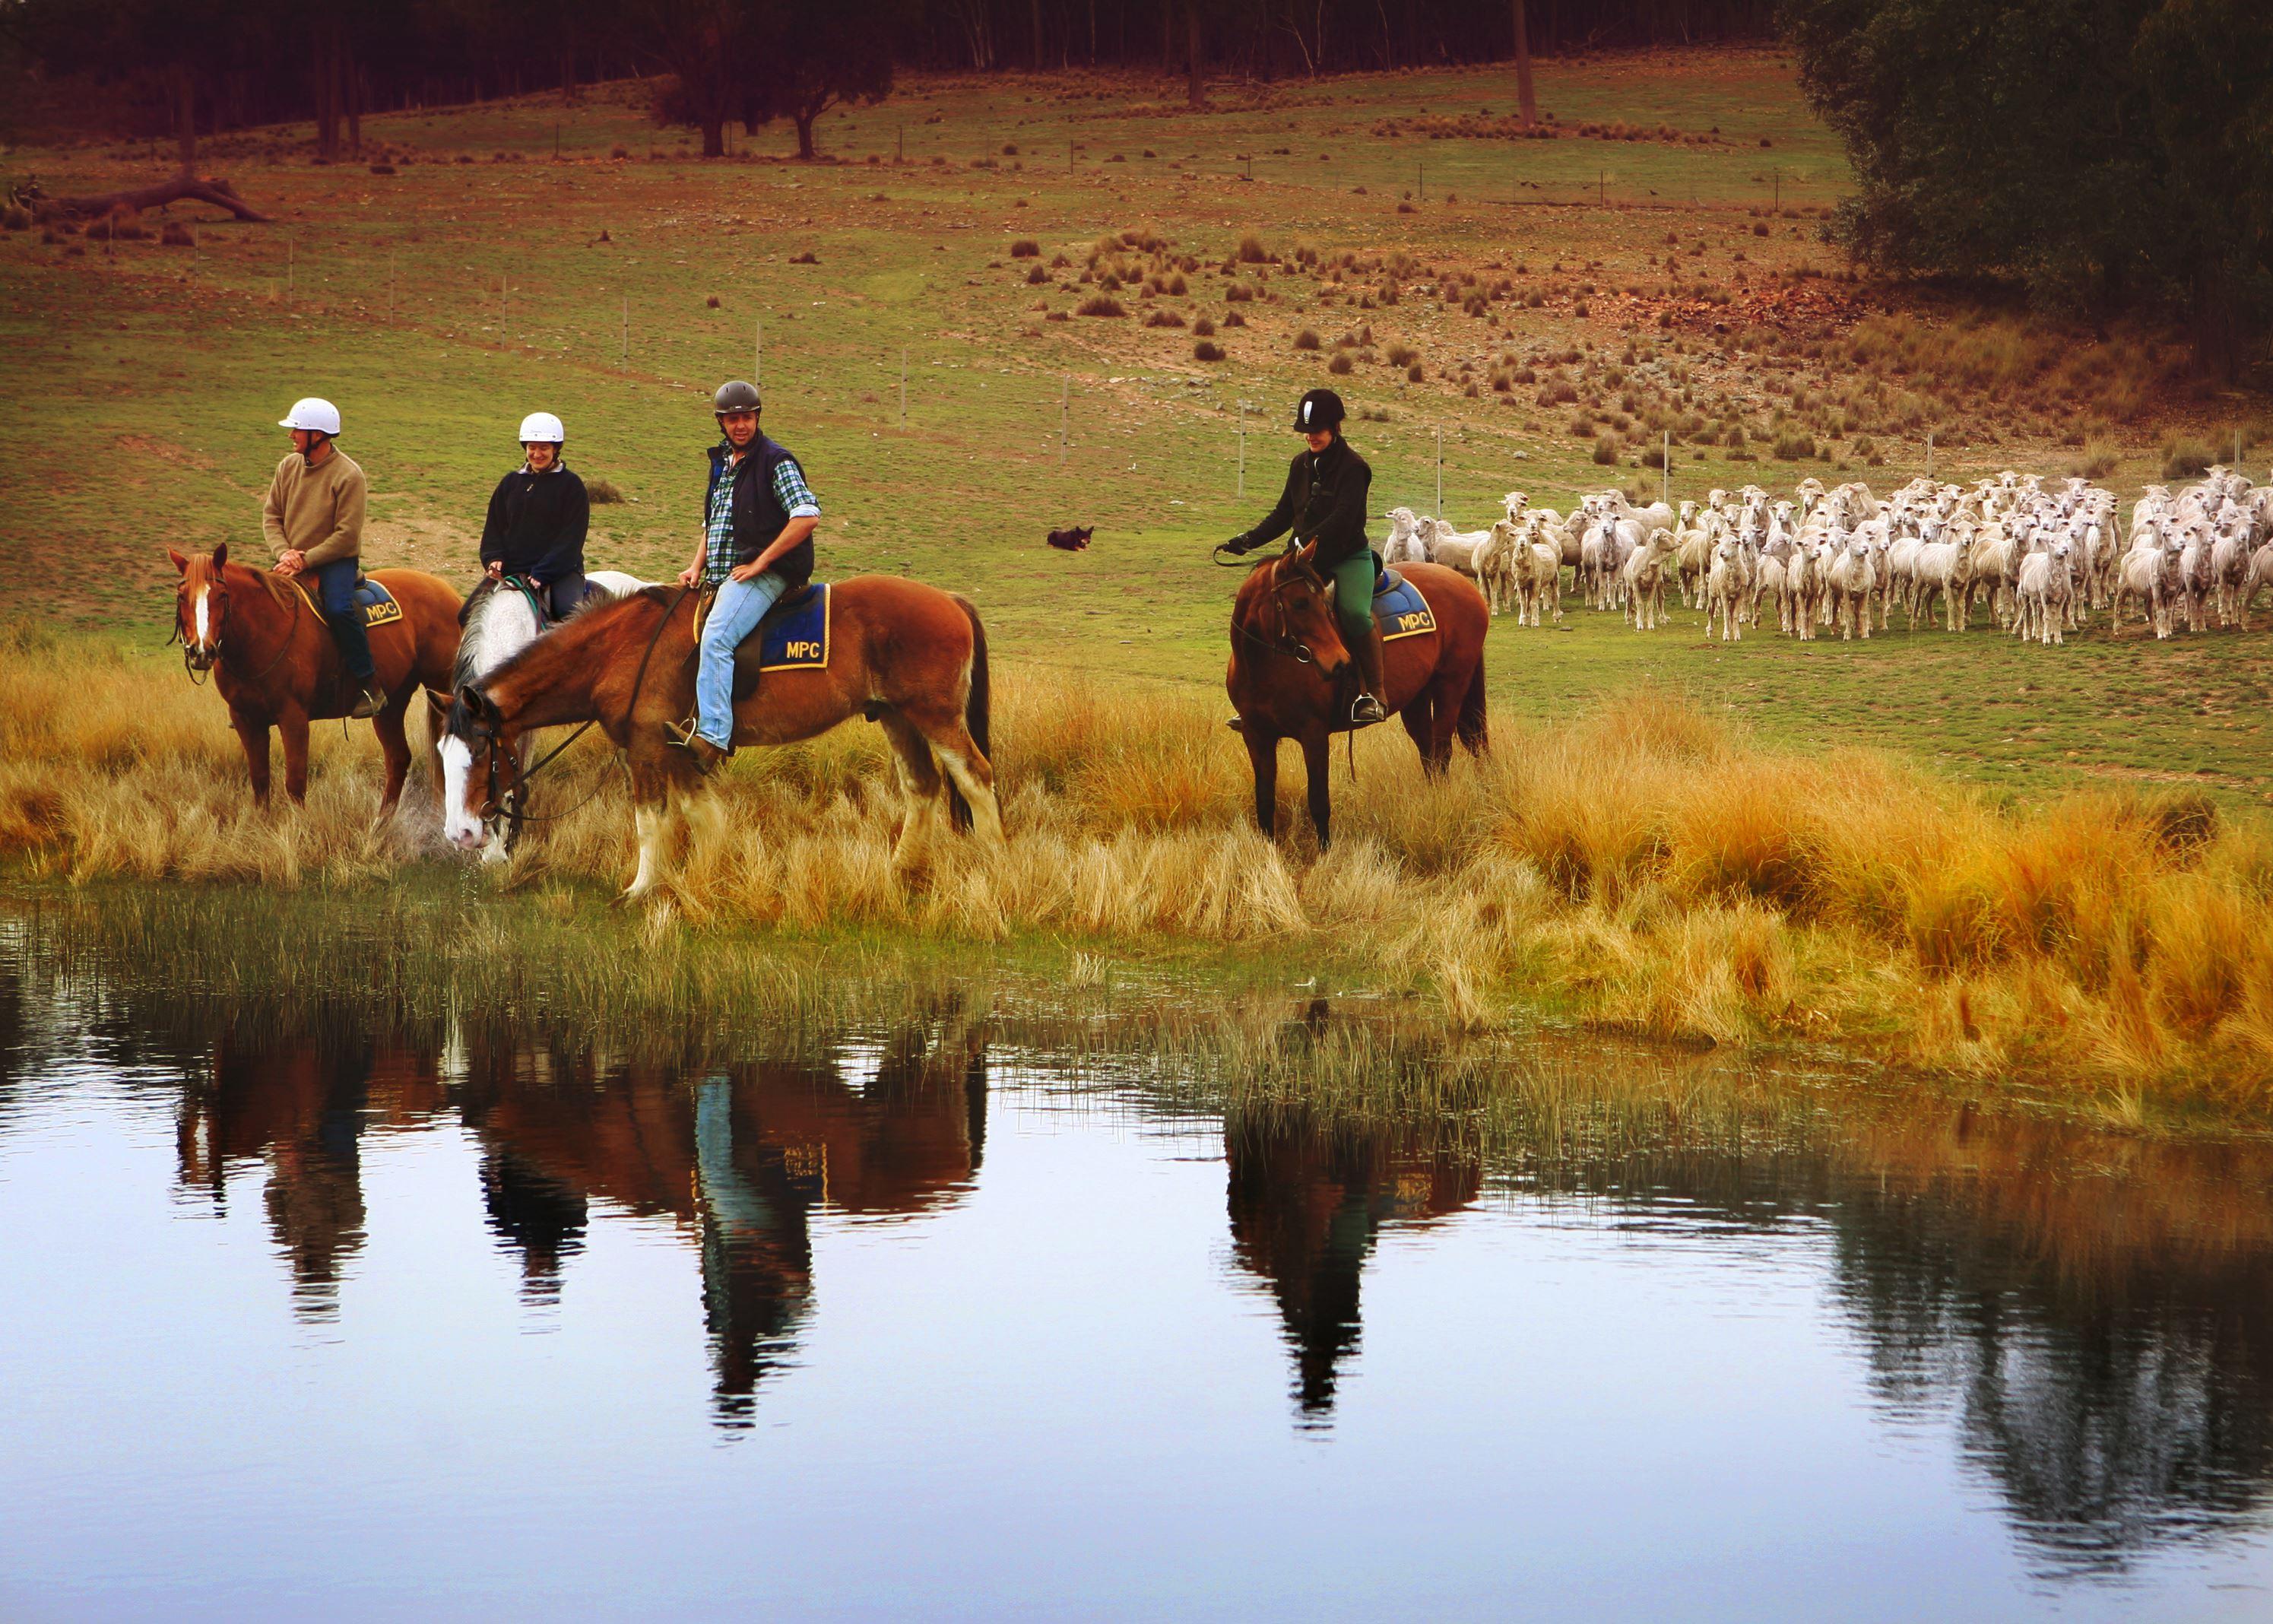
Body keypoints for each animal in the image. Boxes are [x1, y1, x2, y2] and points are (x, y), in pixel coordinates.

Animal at [166, 543, 461, 823]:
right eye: (182, 596)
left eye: (222, 595)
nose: (201, 651)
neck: (263, 634)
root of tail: (447, 590)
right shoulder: (246, 719)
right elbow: (260, 779)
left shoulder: (293, 718)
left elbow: (295, 783)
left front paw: (300, 831)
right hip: (393, 703)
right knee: (398, 758)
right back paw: (380, 825)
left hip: (443, 693)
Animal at [443, 573, 1004, 896]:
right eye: (443, 755)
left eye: (481, 750)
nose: (461, 834)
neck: (620, 648)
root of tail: (950, 599)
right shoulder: (679, 750)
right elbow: (702, 815)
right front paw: (708, 875)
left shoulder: (647, 747)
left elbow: (650, 821)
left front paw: (641, 888)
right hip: (896, 717)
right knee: (922, 786)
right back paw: (899, 870)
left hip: (935, 717)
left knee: (976, 778)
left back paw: (993, 863)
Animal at [1227, 547, 1491, 845]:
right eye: (1299, 603)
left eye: (1322, 603)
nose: (1340, 663)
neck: (1263, 666)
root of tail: (1463, 584)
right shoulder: (1256, 736)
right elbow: (1264, 801)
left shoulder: (1314, 734)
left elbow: (1318, 801)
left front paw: (1325, 853)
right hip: (1418, 698)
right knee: (1428, 754)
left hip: (1451, 684)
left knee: (1444, 751)